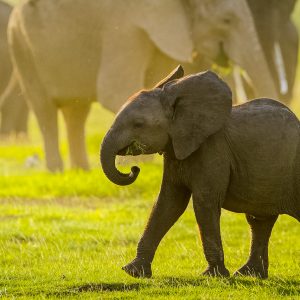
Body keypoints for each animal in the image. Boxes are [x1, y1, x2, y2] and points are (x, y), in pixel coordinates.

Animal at [7, 0, 278, 171]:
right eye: (227, 20)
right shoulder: (125, 28)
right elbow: (114, 90)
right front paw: (148, 164)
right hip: (20, 46)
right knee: (44, 110)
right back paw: (57, 171)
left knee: (77, 112)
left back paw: (81, 170)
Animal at [101, 65, 300, 278]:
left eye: (138, 124)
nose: (134, 169)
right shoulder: (176, 149)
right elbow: (168, 203)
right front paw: (133, 271)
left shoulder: (213, 149)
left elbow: (204, 202)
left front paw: (213, 275)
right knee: (259, 221)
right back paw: (249, 274)